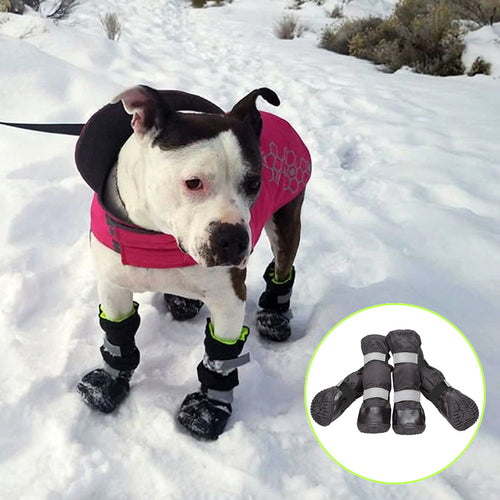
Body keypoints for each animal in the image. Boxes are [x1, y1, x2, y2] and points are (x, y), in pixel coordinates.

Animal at [73, 86, 310, 438]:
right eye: (193, 182)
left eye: (255, 183)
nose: (234, 238)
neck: (156, 237)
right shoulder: (113, 286)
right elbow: (118, 335)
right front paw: (107, 383)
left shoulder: (229, 300)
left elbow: (221, 356)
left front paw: (208, 409)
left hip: (287, 220)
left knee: (283, 264)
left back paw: (275, 317)